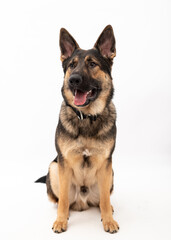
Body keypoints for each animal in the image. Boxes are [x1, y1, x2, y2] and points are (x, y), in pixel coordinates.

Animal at [35, 25, 119, 233]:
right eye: (71, 65)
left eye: (92, 64)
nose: (73, 80)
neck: (87, 118)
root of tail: (83, 201)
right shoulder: (63, 163)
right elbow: (64, 199)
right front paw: (60, 221)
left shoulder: (106, 163)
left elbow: (105, 199)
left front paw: (108, 220)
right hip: (53, 167)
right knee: (61, 200)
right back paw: (62, 212)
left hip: (111, 173)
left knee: (103, 199)